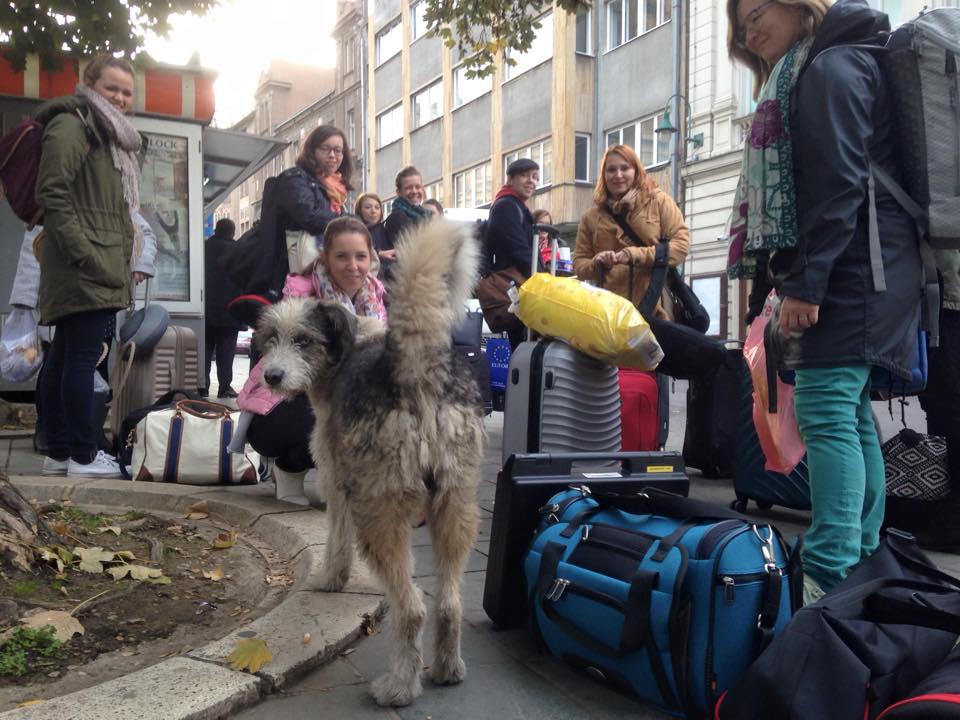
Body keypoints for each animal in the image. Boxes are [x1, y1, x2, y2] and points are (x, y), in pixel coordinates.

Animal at [255, 220, 484, 707]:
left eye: (302, 340)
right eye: (270, 340)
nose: (271, 376)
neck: (348, 345)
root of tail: (415, 369)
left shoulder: (339, 479)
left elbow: (336, 539)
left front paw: (330, 578)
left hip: (380, 509)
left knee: (412, 607)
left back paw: (399, 686)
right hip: (456, 501)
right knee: (449, 602)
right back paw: (447, 669)